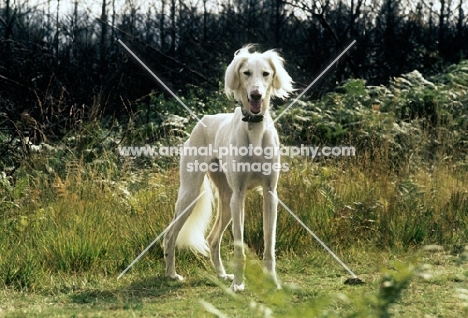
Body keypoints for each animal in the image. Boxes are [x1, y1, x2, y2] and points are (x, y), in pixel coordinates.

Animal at [163, 44, 290, 290]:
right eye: (246, 73)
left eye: (266, 73)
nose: (256, 95)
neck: (254, 129)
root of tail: (203, 121)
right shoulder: (239, 195)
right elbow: (239, 248)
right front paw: (239, 285)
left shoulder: (270, 194)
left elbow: (269, 245)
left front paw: (272, 282)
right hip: (192, 193)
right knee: (171, 234)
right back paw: (172, 275)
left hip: (226, 198)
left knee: (213, 238)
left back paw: (222, 275)